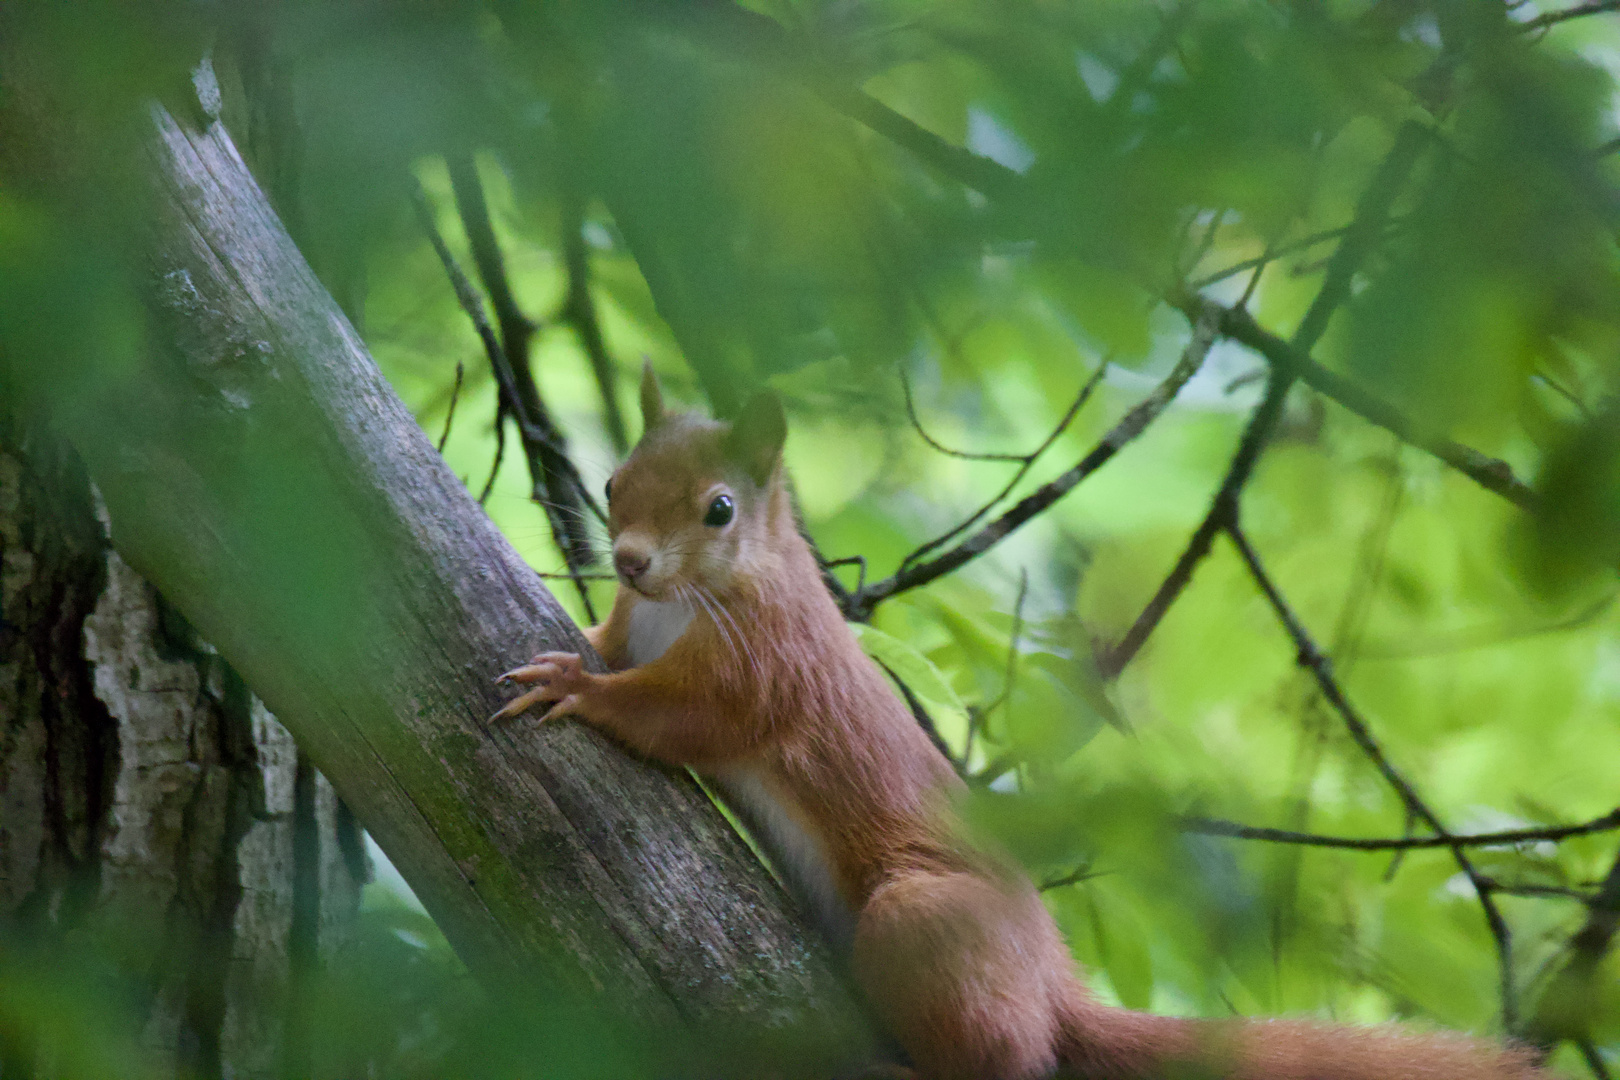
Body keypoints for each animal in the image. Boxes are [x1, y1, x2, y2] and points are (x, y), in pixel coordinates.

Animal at [492, 365, 1542, 1080]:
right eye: (615, 483)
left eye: (720, 509)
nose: (629, 559)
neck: (686, 602)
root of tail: (1052, 987)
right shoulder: (637, 627)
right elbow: (613, 643)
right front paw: (581, 643)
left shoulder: (763, 669)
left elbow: (681, 715)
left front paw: (580, 690)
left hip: (925, 925)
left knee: (1002, 1057)